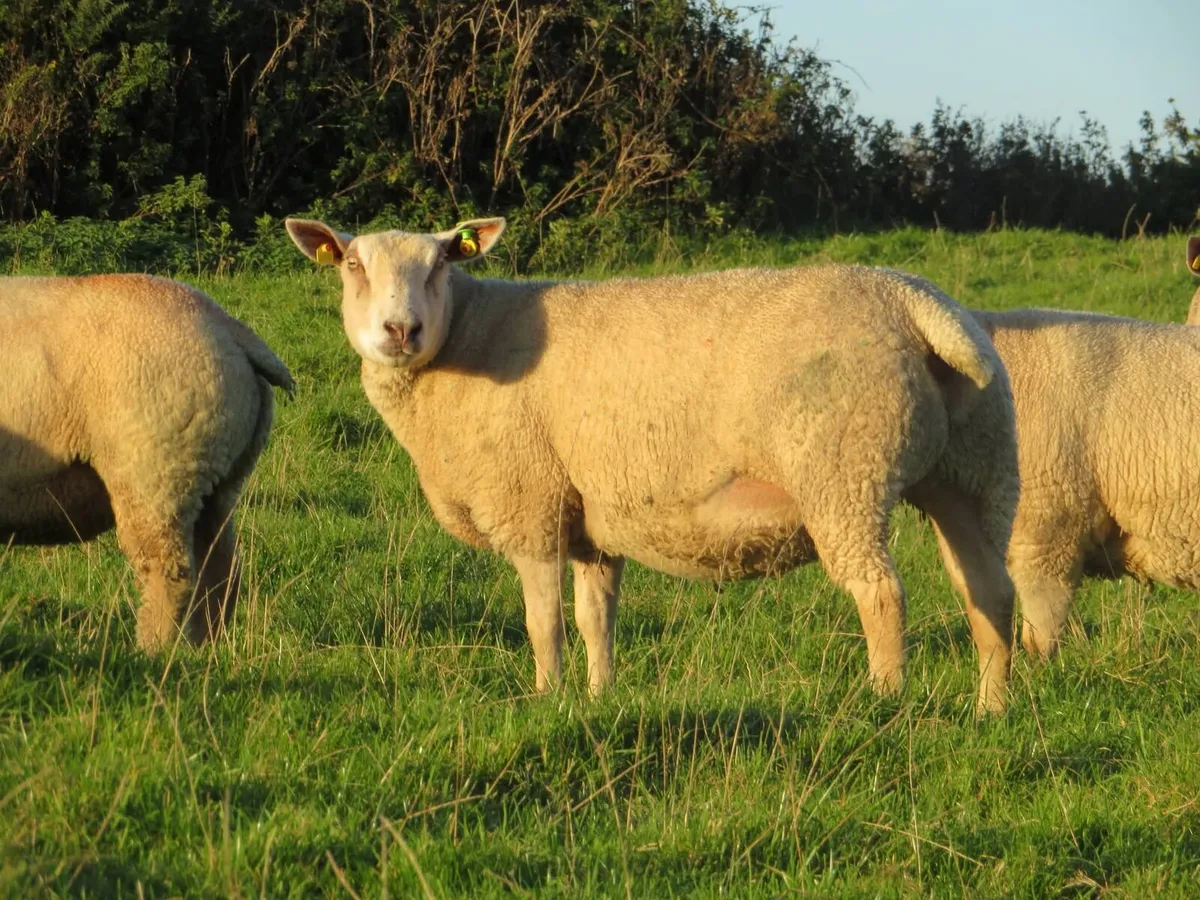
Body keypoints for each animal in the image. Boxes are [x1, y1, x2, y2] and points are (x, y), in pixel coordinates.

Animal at [1, 274, 294, 649]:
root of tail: (229, 328)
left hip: (156, 473)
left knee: (170, 571)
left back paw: (151, 649)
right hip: (217, 480)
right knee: (221, 569)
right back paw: (202, 648)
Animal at [285, 216, 1020, 711]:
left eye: (440, 263)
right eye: (351, 266)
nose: (400, 330)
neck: (466, 336)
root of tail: (916, 302)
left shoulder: (530, 503)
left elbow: (544, 622)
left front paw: (547, 699)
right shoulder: (589, 518)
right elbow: (595, 620)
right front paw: (598, 697)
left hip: (844, 472)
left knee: (880, 592)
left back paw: (884, 701)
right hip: (968, 469)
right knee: (988, 589)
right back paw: (992, 707)